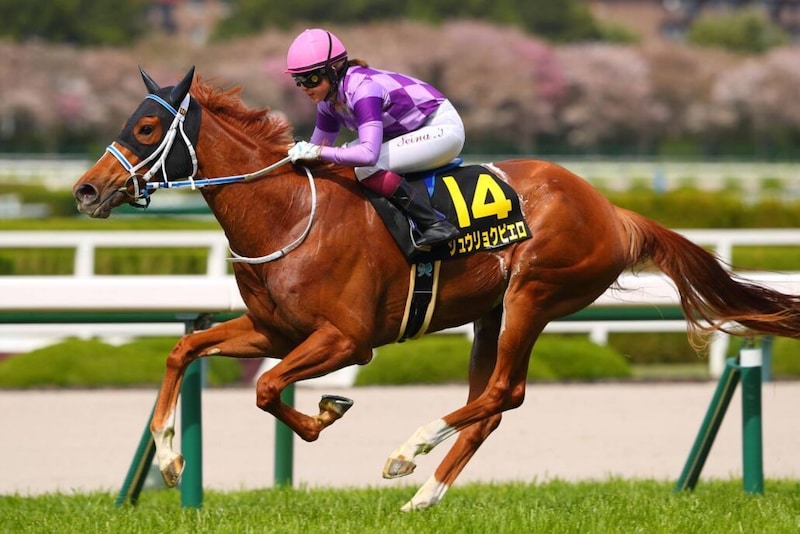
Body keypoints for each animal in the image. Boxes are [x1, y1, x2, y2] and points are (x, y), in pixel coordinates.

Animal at [73, 67, 800, 511]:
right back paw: (425, 494)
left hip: (533, 294)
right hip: (490, 313)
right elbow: (185, 353)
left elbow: (268, 388)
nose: (84, 190)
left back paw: (408, 453)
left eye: (145, 128)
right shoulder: (275, 330)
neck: (287, 212)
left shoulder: (347, 340)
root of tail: (612, 209)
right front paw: (170, 459)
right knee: (492, 404)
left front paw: (327, 413)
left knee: (503, 391)